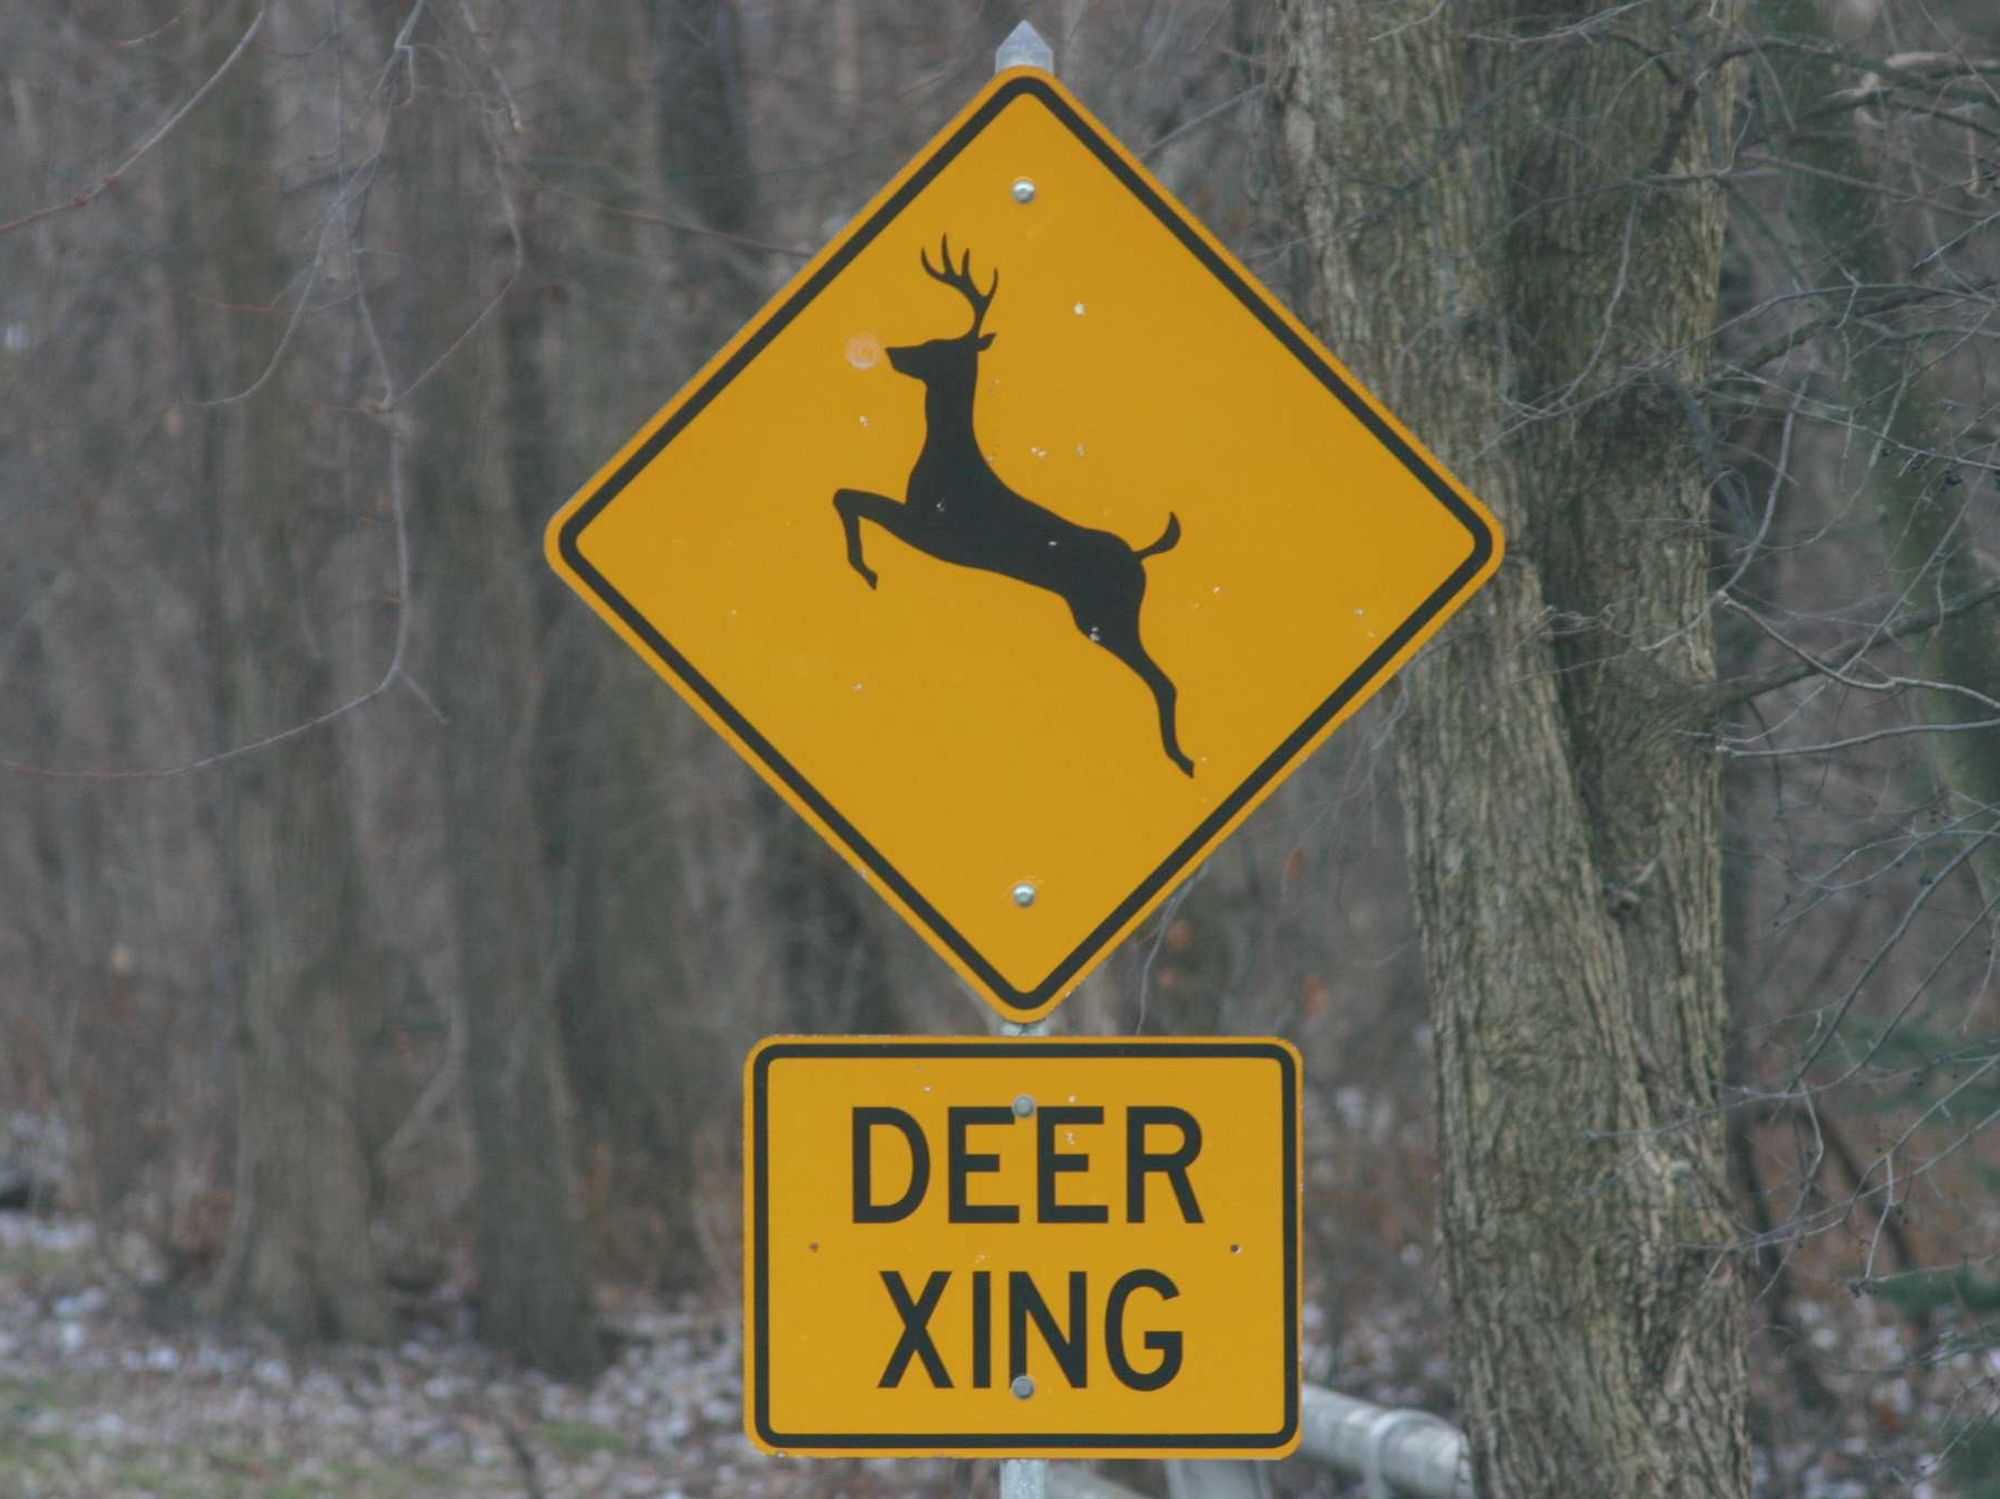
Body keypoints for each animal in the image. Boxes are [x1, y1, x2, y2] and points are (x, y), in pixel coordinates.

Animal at [834, 236, 1193, 777]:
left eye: (938, 347)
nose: (893, 352)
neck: (947, 454)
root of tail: (1141, 555)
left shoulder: (933, 529)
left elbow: (848, 497)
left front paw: (867, 570)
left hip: (1107, 616)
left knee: (1164, 680)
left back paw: (1182, 759)